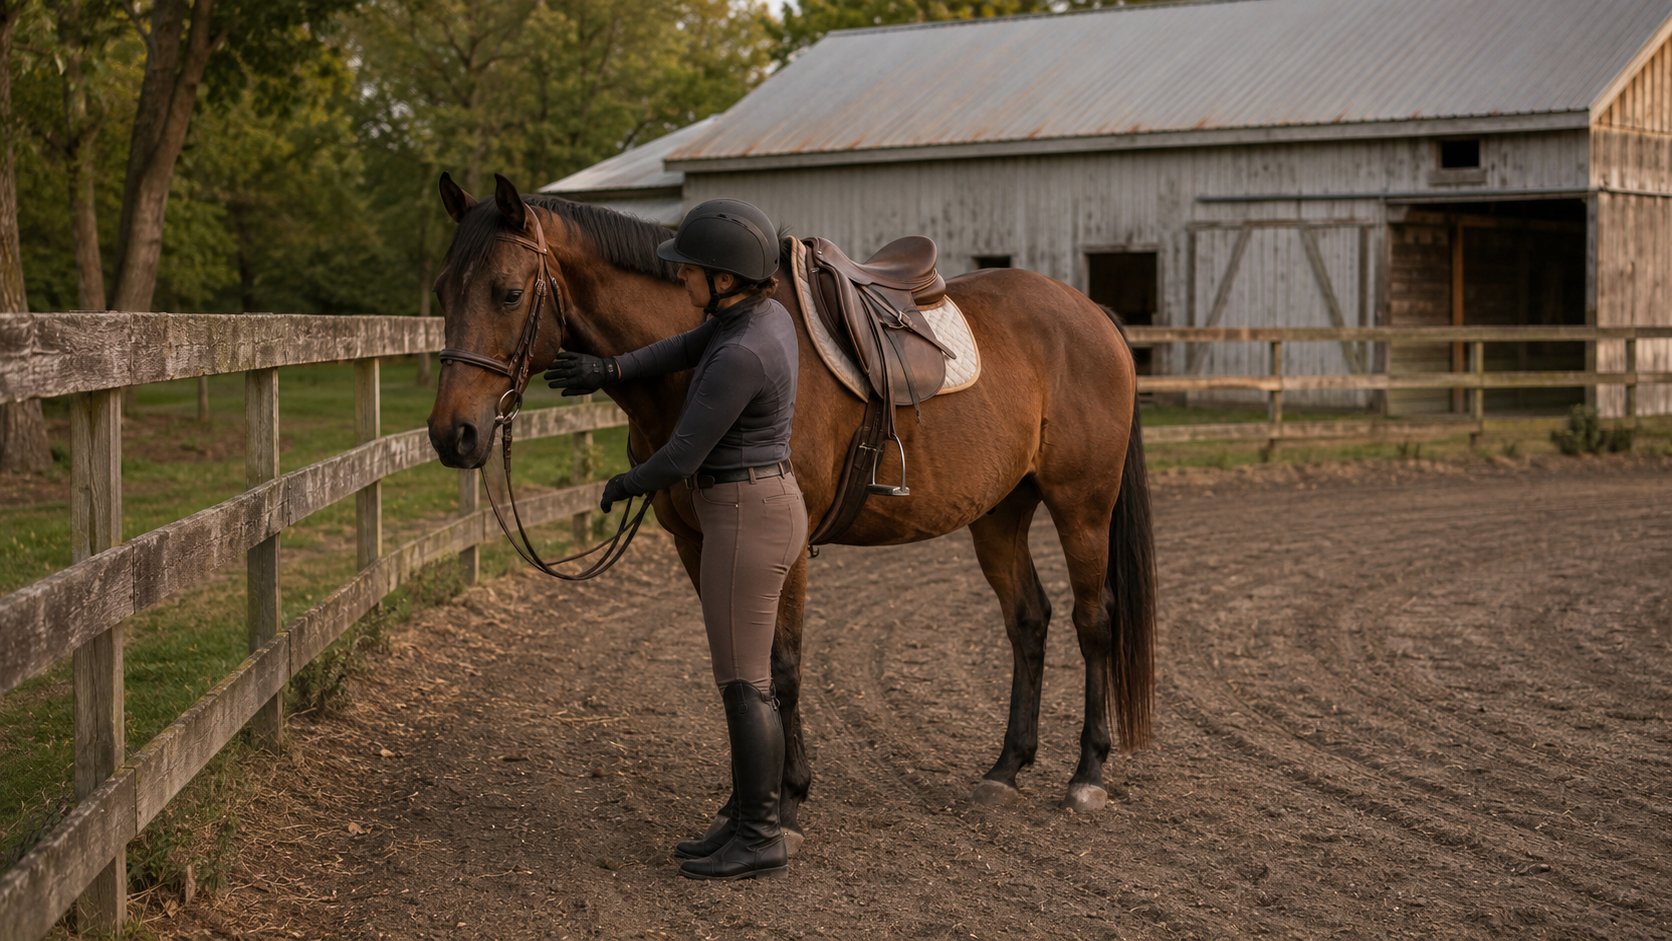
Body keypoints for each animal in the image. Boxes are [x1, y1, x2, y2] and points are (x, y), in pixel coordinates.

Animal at [426, 173, 1157, 849]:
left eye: (508, 292)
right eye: (441, 292)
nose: (451, 434)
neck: (703, 362)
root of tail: (1091, 312)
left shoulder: (785, 542)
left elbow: (782, 663)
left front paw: (789, 801)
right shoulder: (696, 542)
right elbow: (734, 661)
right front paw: (738, 802)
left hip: (1082, 506)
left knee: (1094, 621)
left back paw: (1087, 775)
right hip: (1000, 512)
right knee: (1028, 620)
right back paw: (1005, 770)